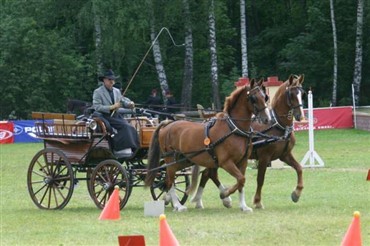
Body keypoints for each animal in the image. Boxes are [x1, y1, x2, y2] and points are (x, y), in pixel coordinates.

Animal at [143, 80, 270, 212]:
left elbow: (241, 182)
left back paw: (172, 200)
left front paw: (243, 206)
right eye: (253, 98)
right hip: (170, 160)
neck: (233, 128)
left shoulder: (243, 161)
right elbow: (241, 179)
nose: (267, 118)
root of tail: (167, 124)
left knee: (168, 179)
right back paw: (178, 205)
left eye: (265, 97)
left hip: (183, 161)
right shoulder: (226, 162)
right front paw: (225, 194)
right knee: (171, 181)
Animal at [192, 74, 304, 209]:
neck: (278, 125)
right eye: (292, 94)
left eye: (302, 93)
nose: (300, 116)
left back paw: (209, 200)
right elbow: (260, 179)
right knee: (208, 174)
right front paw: (258, 201)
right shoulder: (264, 157)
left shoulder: (284, 155)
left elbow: (299, 168)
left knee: (207, 174)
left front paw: (296, 193)